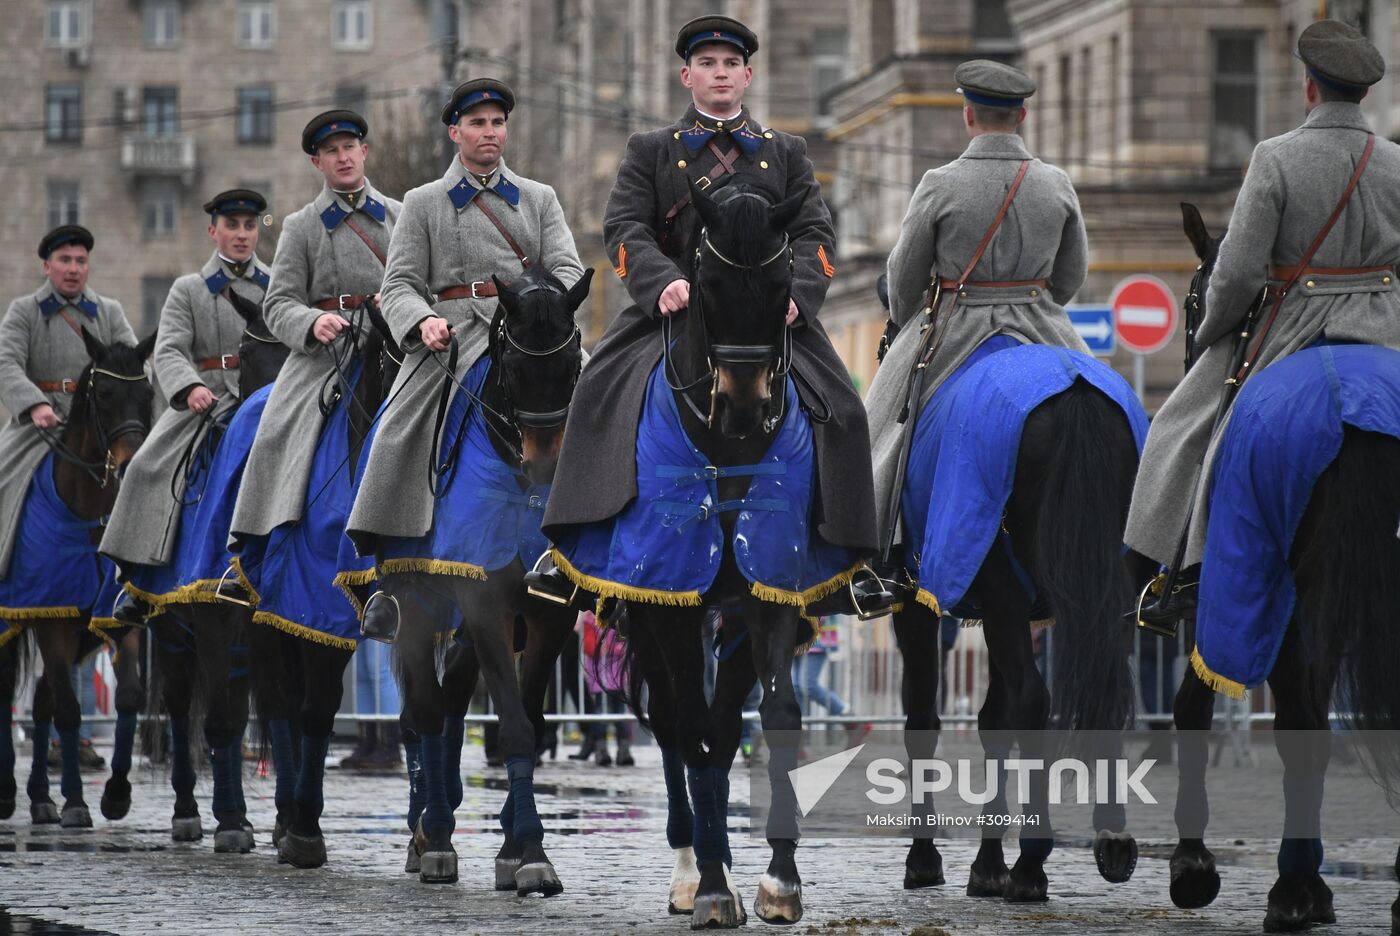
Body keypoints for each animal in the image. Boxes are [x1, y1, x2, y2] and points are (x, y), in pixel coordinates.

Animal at [0, 328, 156, 822]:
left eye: (147, 393)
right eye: (103, 393)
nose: (129, 464)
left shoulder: (114, 618)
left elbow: (127, 698)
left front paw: (116, 794)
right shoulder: (53, 619)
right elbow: (69, 710)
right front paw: (73, 800)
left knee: (41, 699)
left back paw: (39, 797)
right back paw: (13, 793)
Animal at [1170, 202, 1400, 929]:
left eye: (1194, 302)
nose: (1192, 353)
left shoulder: (1235, 589)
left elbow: (1192, 703)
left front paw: (1194, 865)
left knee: (1303, 725)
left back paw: (1291, 891)